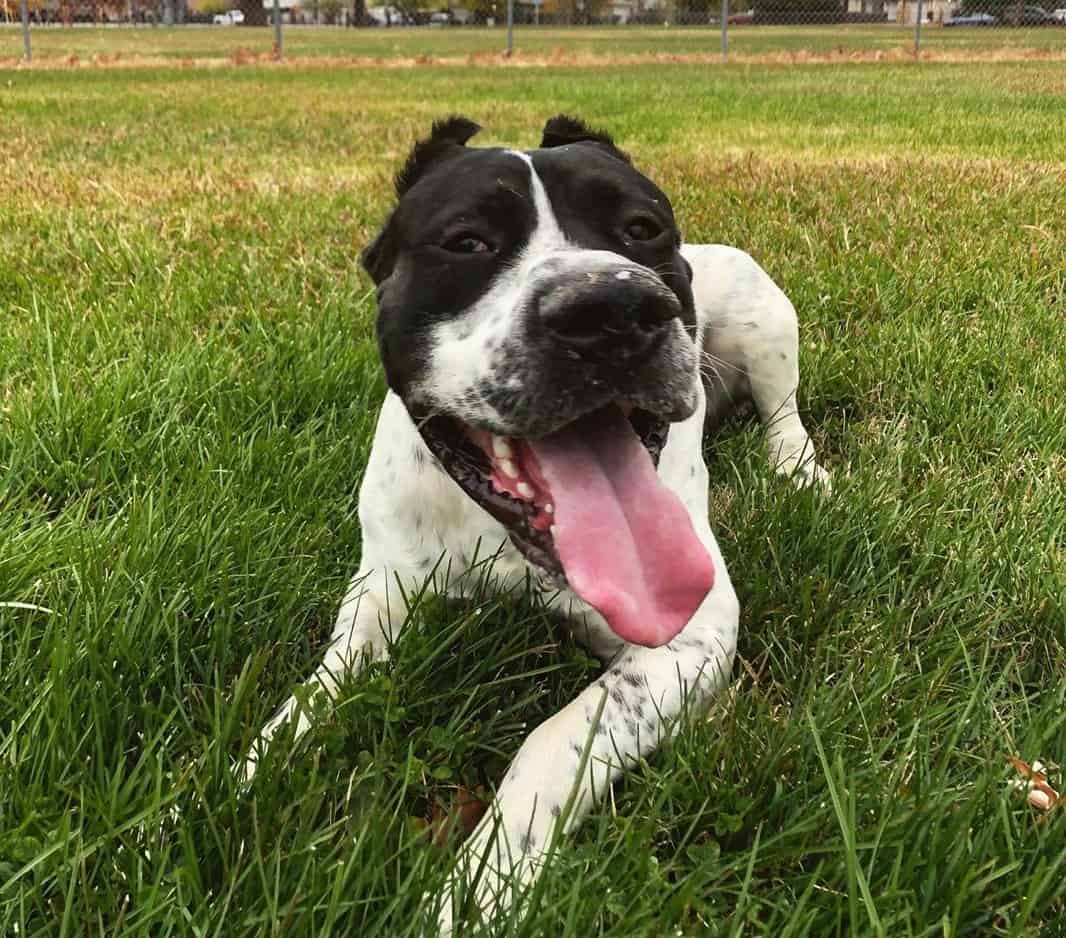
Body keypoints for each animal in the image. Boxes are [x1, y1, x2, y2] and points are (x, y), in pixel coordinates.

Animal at [244, 115, 831, 929]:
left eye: (642, 228)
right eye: (466, 241)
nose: (610, 310)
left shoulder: (687, 637)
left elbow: (554, 739)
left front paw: (482, 887)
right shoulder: (381, 595)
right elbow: (313, 699)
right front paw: (218, 793)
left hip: (763, 313)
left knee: (785, 410)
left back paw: (798, 468)